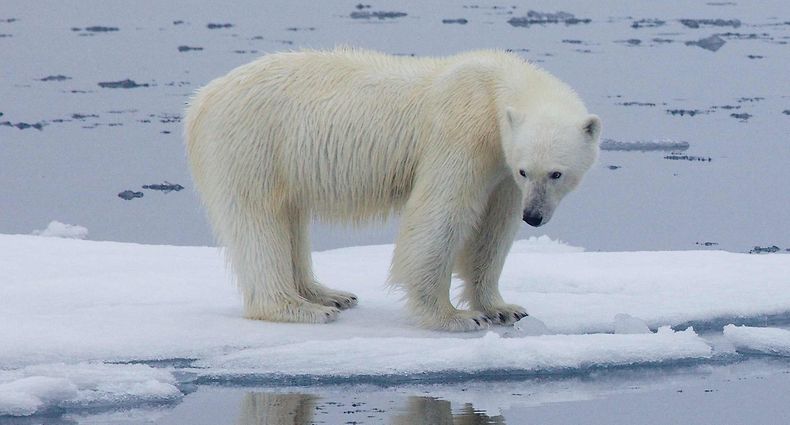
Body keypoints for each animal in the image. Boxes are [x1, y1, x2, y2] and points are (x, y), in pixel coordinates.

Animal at [184, 48, 600, 331]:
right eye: (528, 170)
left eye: (556, 173)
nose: (534, 216)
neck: (492, 89)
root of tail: (202, 98)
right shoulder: (463, 134)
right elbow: (440, 214)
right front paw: (456, 317)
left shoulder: (501, 168)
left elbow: (494, 230)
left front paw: (503, 307)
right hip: (253, 143)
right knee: (258, 220)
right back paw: (300, 308)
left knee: (290, 218)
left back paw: (329, 294)